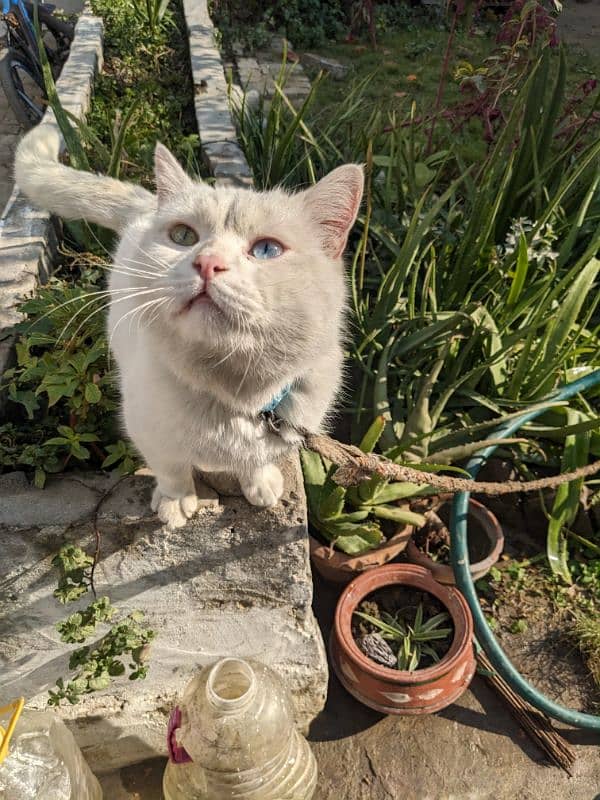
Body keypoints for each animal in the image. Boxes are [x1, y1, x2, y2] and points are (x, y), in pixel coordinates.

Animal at [14, 123, 364, 524]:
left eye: (266, 250)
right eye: (183, 236)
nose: (208, 262)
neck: (234, 393)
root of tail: (149, 204)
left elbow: (255, 462)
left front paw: (259, 484)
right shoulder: (148, 432)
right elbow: (172, 470)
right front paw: (177, 502)